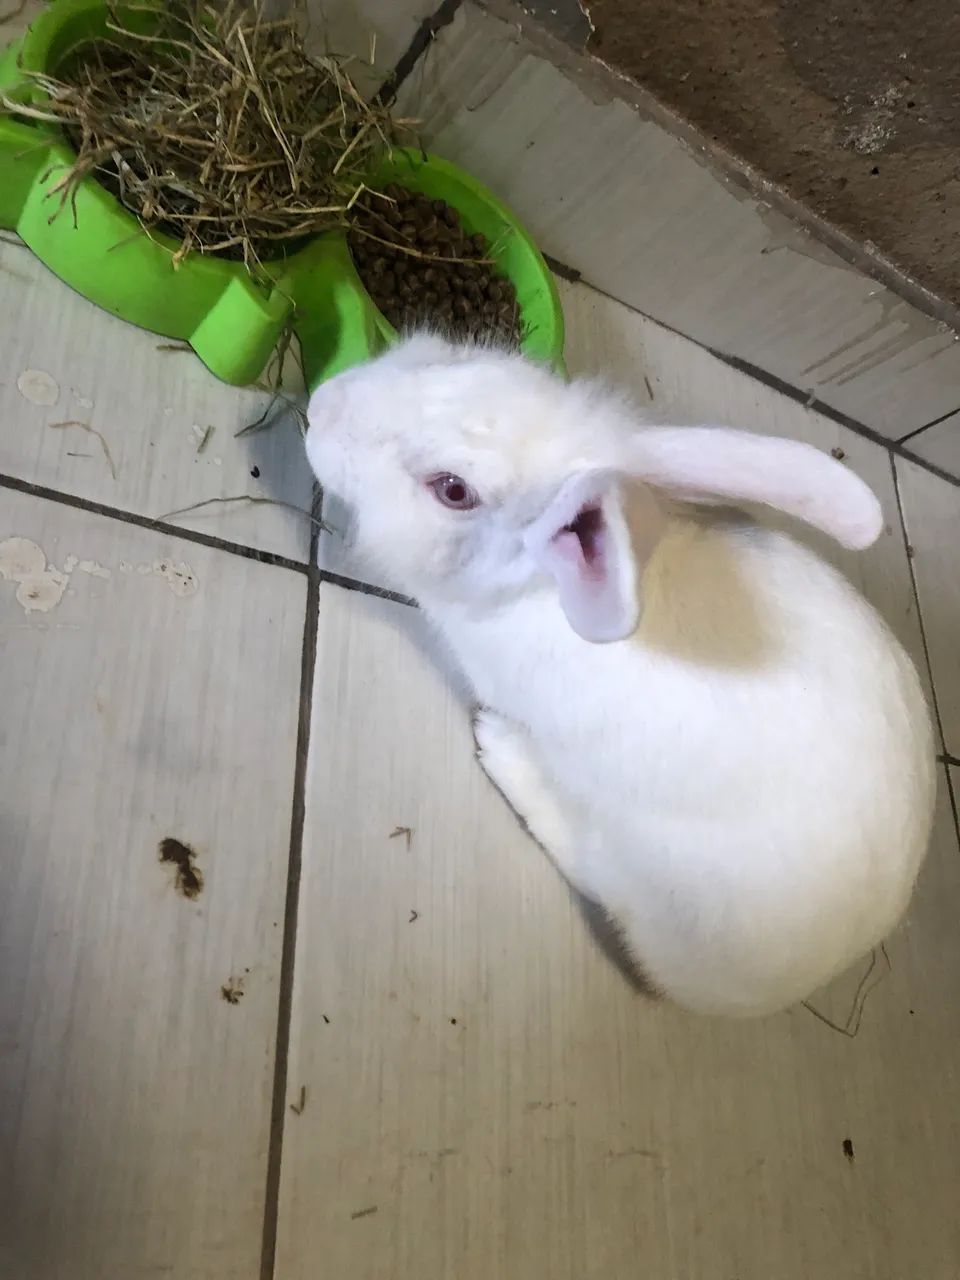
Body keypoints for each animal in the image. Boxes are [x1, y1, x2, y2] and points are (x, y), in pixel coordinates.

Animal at [305, 333, 936, 1017]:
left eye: (452, 490)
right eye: (463, 362)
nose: (321, 406)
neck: (536, 586)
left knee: (594, 873)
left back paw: (502, 751)